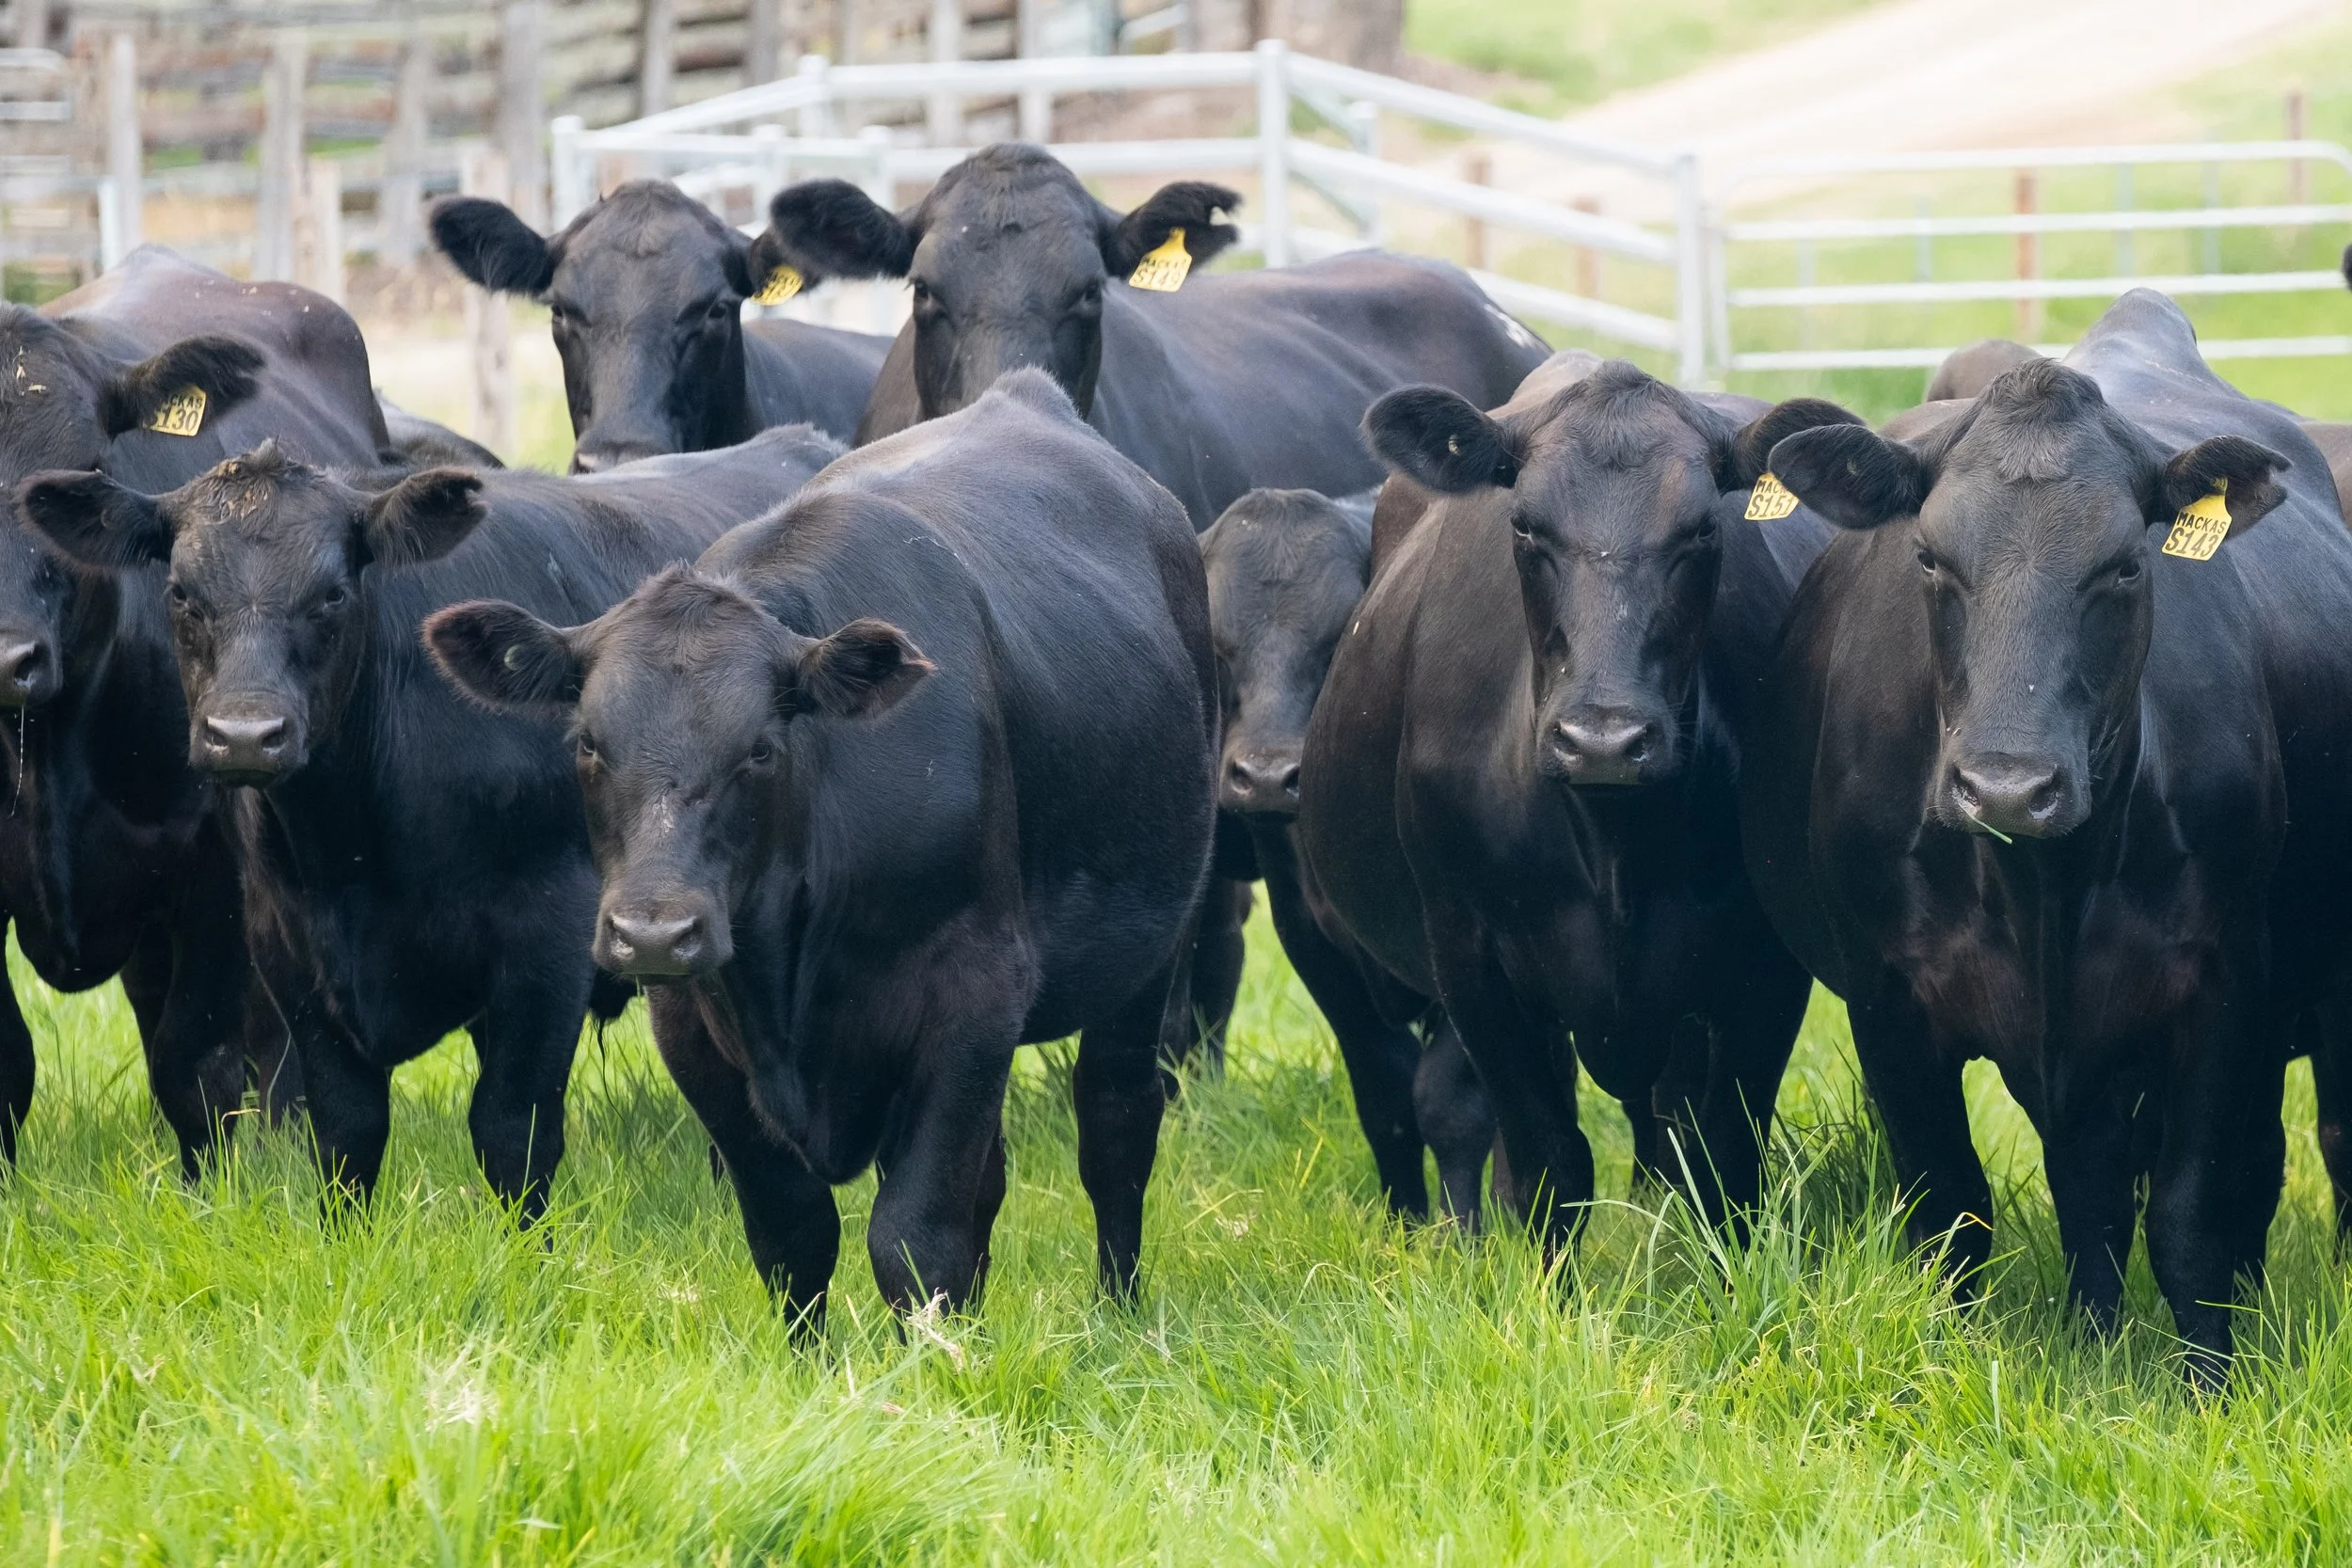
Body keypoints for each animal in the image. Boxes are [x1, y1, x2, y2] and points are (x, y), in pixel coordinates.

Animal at [17, 425, 842, 1217]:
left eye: (332, 594)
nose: (246, 734)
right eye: (182, 593)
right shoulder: (287, 948)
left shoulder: (549, 938)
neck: (355, 852)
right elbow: (344, 1132)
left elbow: (512, 1130)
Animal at [424, 370, 1216, 1326]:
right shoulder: (694, 1026)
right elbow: (793, 1232)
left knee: (1116, 1126)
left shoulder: (974, 994)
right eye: (586, 741)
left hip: (1154, 945)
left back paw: (1120, 1312)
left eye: (761, 748)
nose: (654, 931)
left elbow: (915, 1236)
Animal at [1203, 487, 1494, 1223]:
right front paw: (1407, 1224)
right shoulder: (1311, 941)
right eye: (1220, 642)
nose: (1268, 775)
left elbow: (1450, 1103)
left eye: (1338, 638)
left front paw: (1465, 1232)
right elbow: (1386, 1097)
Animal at [1298, 361, 1857, 1256]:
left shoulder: (1762, 966)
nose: (1604, 738)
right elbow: (1548, 1162)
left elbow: (1722, 1155)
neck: (1613, 847)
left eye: (1702, 530)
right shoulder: (1473, 962)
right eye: (1526, 527)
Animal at [1740, 289, 2352, 1382]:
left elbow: (2195, 1214)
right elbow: (1950, 1207)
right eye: (1929, 557)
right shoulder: (1888, 998)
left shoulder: (2226, 986)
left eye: (2124, 567)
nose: (2008, 786)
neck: (2045, 887)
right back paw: (2092, 1336)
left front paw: (2209, 1387)